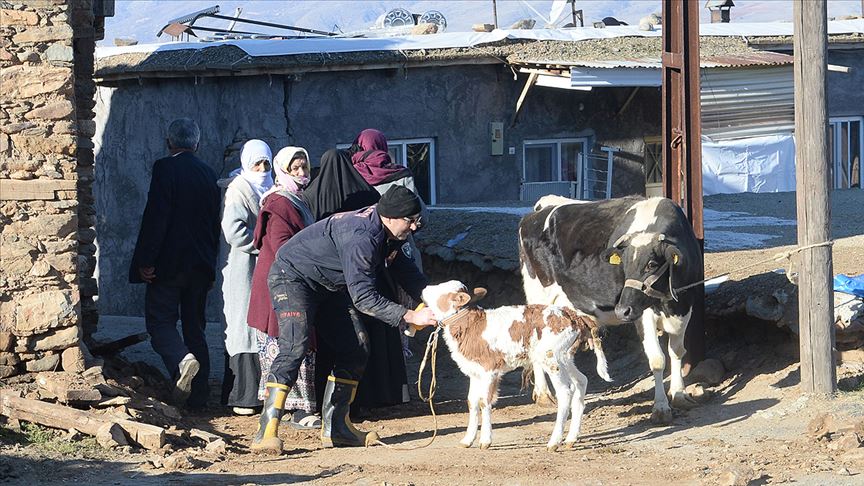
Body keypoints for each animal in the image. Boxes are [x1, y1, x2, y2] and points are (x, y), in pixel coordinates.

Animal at [420, 280, 612, 452]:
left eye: (441, 289)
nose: (424, 288)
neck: (471, 325)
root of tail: (572, 314)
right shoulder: (474, 371)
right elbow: (472, 402)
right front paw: (467, 440)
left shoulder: (489, 369)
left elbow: (484, 401)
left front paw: (485, 441)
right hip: (565, 357)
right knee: (581, 381)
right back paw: (571, 439)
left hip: (551, 358)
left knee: (565, 391)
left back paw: (554, 442)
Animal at [520, 196, 704, 424]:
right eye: (623, 265)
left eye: (652, 264)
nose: (622, 310)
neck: (670, 303)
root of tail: (544, 205)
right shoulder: (643, 313)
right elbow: (658, 359)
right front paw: (661, 407)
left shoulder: (686, 306)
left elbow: (677, 351)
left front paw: (679, 394)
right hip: (537, 296)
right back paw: (544, 395)